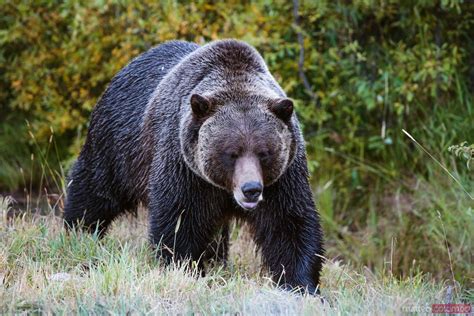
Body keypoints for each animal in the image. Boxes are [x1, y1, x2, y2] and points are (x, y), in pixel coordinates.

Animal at [65, 39, 324, 294]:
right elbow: (179, 221)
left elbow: (290, 224)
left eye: (264, 152)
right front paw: (184, 268)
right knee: (95, 189)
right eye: (231, 153)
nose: (251, 189)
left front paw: (301, 284)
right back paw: (78, 231)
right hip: (118, 143)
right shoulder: (184, 167)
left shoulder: (283, 179)